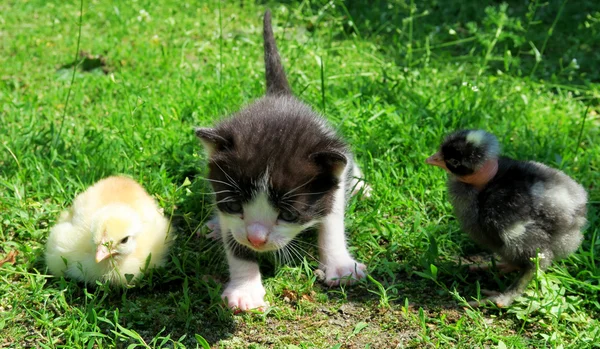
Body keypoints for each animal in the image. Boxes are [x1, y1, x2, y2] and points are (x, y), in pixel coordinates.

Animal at [195, 10, 368, 310]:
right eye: (234, 205)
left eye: (288, 215)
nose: (257, 239)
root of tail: (280, 96)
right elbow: (234, 241)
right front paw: (245, 289)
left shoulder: (331, 184)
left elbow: (332, 223)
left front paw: (340, 265)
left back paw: (360, 186)